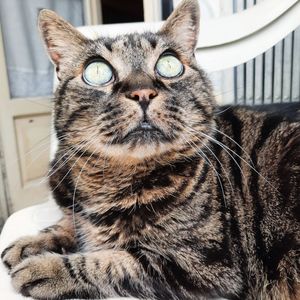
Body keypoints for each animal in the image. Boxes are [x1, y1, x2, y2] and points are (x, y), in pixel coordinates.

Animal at [1, 0, 300, 298]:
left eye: (169, 64)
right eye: (96, 72)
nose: (142, 92)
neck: (109, 182)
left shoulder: (205, 265)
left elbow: (114, 261)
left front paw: (47, 267)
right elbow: (69, 222)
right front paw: (33, 241)